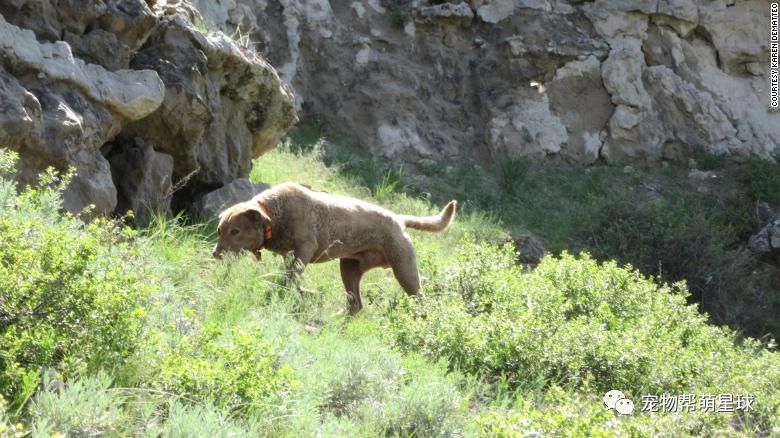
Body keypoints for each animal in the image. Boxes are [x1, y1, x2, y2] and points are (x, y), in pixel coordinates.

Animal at [213, 182, 458, 314]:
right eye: (219, 230)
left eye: (235, 231)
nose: (215, 254)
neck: (273, 215)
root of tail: (400, 219)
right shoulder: (290, 256)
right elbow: (294, 279)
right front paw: (306, 294)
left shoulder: (304, 250)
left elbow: (290, 278)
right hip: (349, 267)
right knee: (355, 304)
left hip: (404, 269)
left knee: (420, 301)